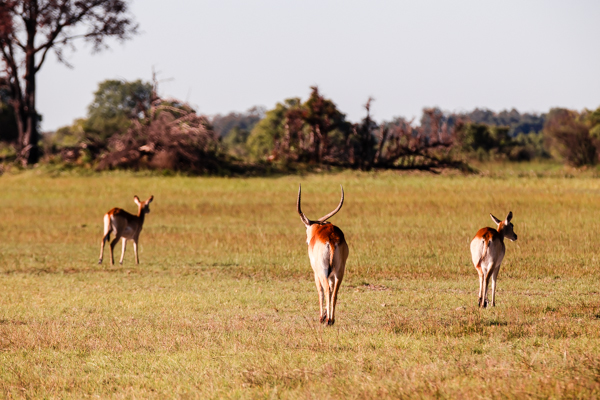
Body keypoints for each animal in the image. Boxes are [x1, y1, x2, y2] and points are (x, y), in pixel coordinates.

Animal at [298, 184, 350, 324]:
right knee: (335, 291)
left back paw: (326, 320)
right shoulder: (331, 274)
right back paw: (332, 319)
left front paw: (322, 316)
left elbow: (320, 291)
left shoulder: (316, 272)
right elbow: (332, 291)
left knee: (325, 289)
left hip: (322, 271)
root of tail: (330, 238)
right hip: (339, 271)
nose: (306, 240)